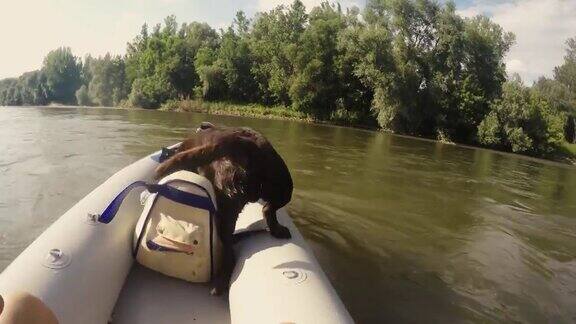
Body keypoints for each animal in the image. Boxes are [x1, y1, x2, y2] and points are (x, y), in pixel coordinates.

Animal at [154, 123, 292, 294]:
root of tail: (246, 144)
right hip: (283, 186)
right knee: (268, 209)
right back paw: (277, 230)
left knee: (229, 251)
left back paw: (219, 285)